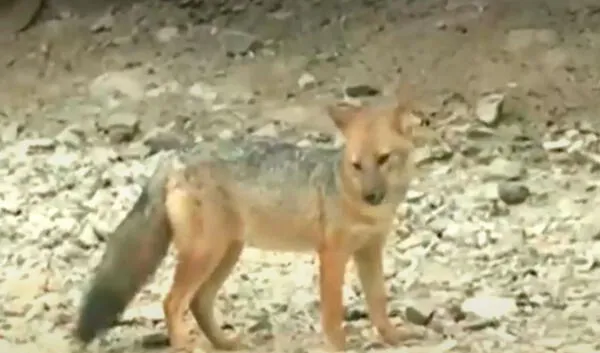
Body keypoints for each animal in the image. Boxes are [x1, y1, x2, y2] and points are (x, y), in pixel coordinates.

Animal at [74, 95, 422, 350]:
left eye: (383, 159)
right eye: (357, 165)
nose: (371, 196)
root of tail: (176, 156)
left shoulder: (370, 251)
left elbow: (378, 302)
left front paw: (393, 337)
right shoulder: (332, 255)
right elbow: (333, 312)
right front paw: (339, 346)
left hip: (226, 254)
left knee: (198, 302)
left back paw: (225, 343)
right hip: (205, 255)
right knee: (172, 302)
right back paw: (186, 345)